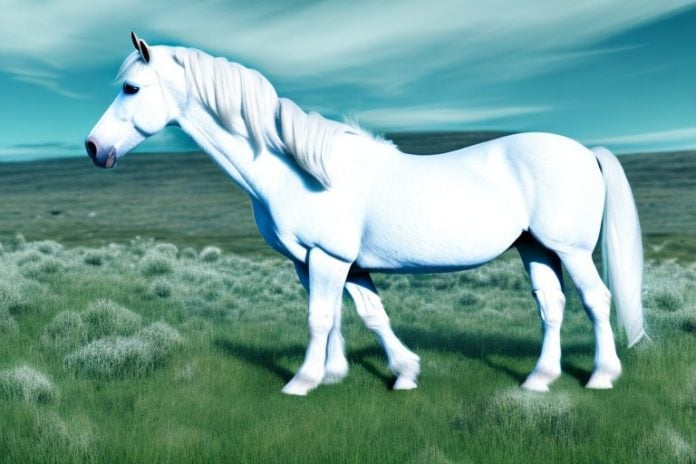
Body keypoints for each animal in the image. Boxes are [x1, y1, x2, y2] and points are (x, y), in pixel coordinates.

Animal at [85, 33, 646, 396]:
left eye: (131, 88)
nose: (93, 148)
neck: (299, 172)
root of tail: (586, 151)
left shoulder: (328, 257)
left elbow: (321, 316)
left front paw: (303, 381)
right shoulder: (327, 262)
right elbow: (361, 315)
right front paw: (391, 373)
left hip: (570, 249)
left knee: (596, 300)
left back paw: (601, 376)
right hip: (535, 248)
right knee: (552, 306)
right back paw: (538, 380)